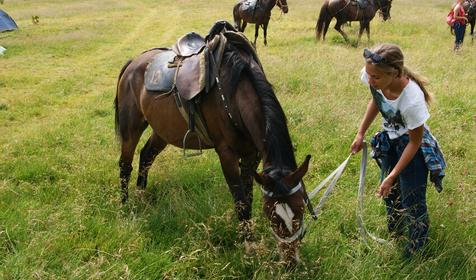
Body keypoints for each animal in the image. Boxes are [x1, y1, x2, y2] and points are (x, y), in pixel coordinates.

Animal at [115, 21, 312, 264]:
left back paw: (142, 196)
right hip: (130, 127)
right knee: (125, 164)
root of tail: (133, 63)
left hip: (162, 131)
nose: (291, 261)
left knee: (146, 157)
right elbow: (240, 201)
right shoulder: (226, 155)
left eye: (301, 209)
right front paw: (248, 246)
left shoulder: (252, 156)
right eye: (271, 215)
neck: (235, 93)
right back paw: (126, 205)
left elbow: (247, 197)